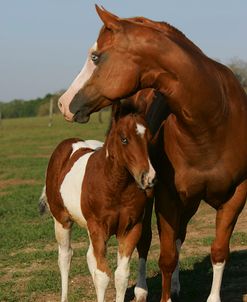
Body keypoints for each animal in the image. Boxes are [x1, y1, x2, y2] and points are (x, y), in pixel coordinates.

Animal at [41, 102, 156, 302]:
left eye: (149, 138)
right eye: (124, 139)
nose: (148, 177)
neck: (115, 187)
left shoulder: (131, 229)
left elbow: (121, 276)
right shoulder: (99, 228)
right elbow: (102, 275)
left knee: (89, 257)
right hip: (62, 221)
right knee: (65, 256)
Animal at [58, 6, 247, 302]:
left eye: (95, 57)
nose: (63, 103)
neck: (212, 121)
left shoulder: (236, 195)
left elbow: (218, 252)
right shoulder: (167, 196)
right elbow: (166, 257)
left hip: (190, 201)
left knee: (180, 235)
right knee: (146, 241)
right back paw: (142, 289)